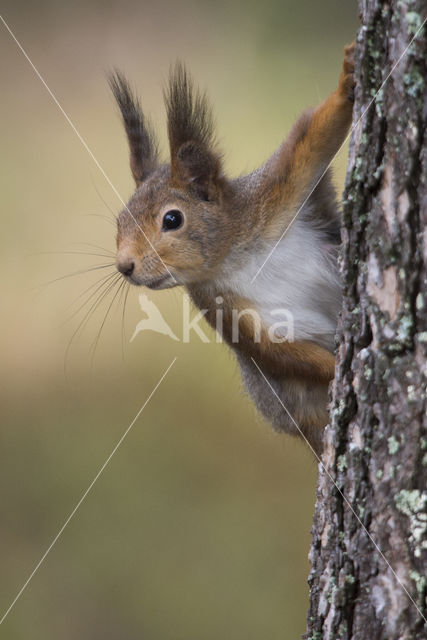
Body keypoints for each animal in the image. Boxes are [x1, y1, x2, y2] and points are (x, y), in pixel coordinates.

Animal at [109, 45, 354, 456]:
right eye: (119, 222)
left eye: (172, 219)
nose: (124, 266)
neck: (236, 256)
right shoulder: (225, 307)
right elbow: (279, 351)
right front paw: (336, 369)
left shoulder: (275, 194)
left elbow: (311, 137)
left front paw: (348, 77)